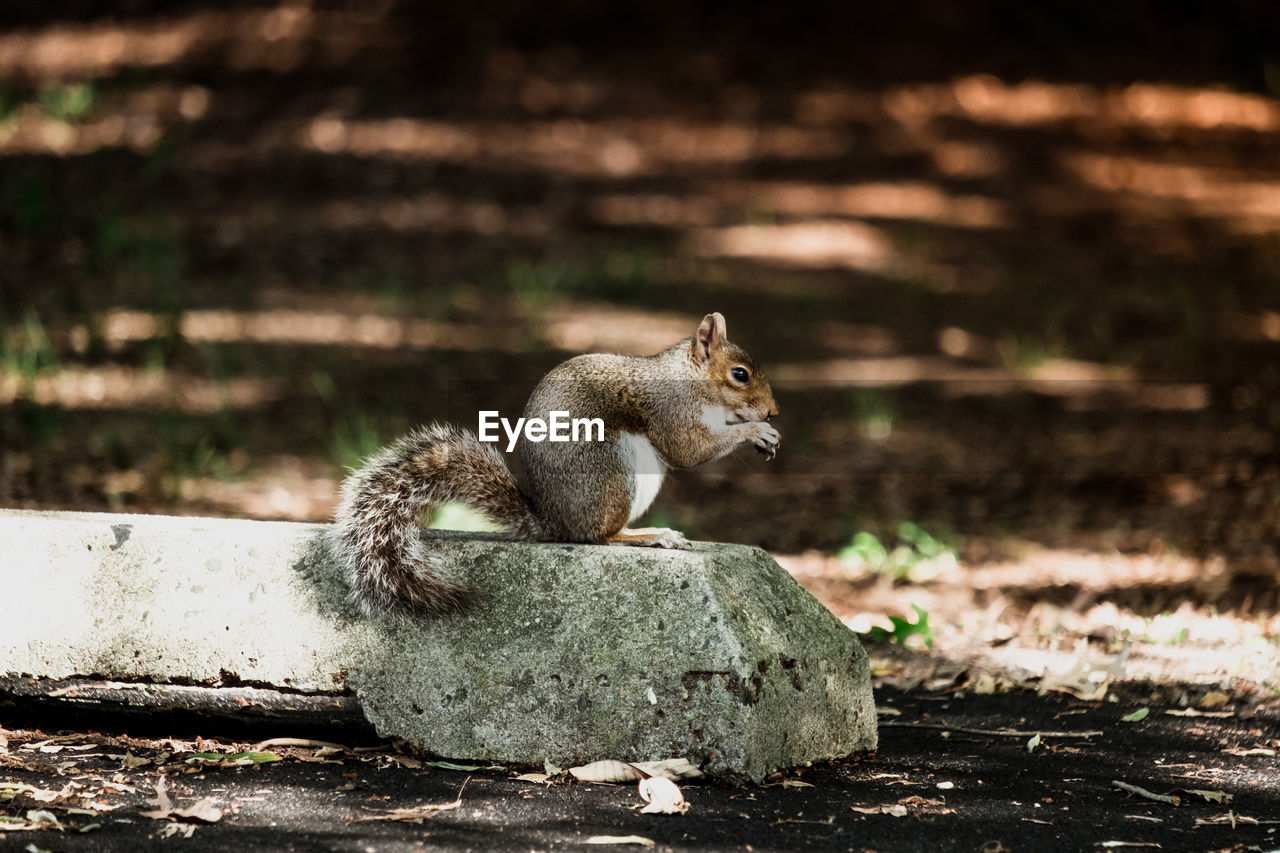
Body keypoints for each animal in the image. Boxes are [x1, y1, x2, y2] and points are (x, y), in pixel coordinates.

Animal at [335, 308, 778, 614]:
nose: (773, 411)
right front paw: (754, 431)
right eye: (739, 374)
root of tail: (553, 521)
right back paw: (649, 535)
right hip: (611, 471)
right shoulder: (671, 410)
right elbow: (687, 449)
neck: (691, 380)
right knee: (598, 536)